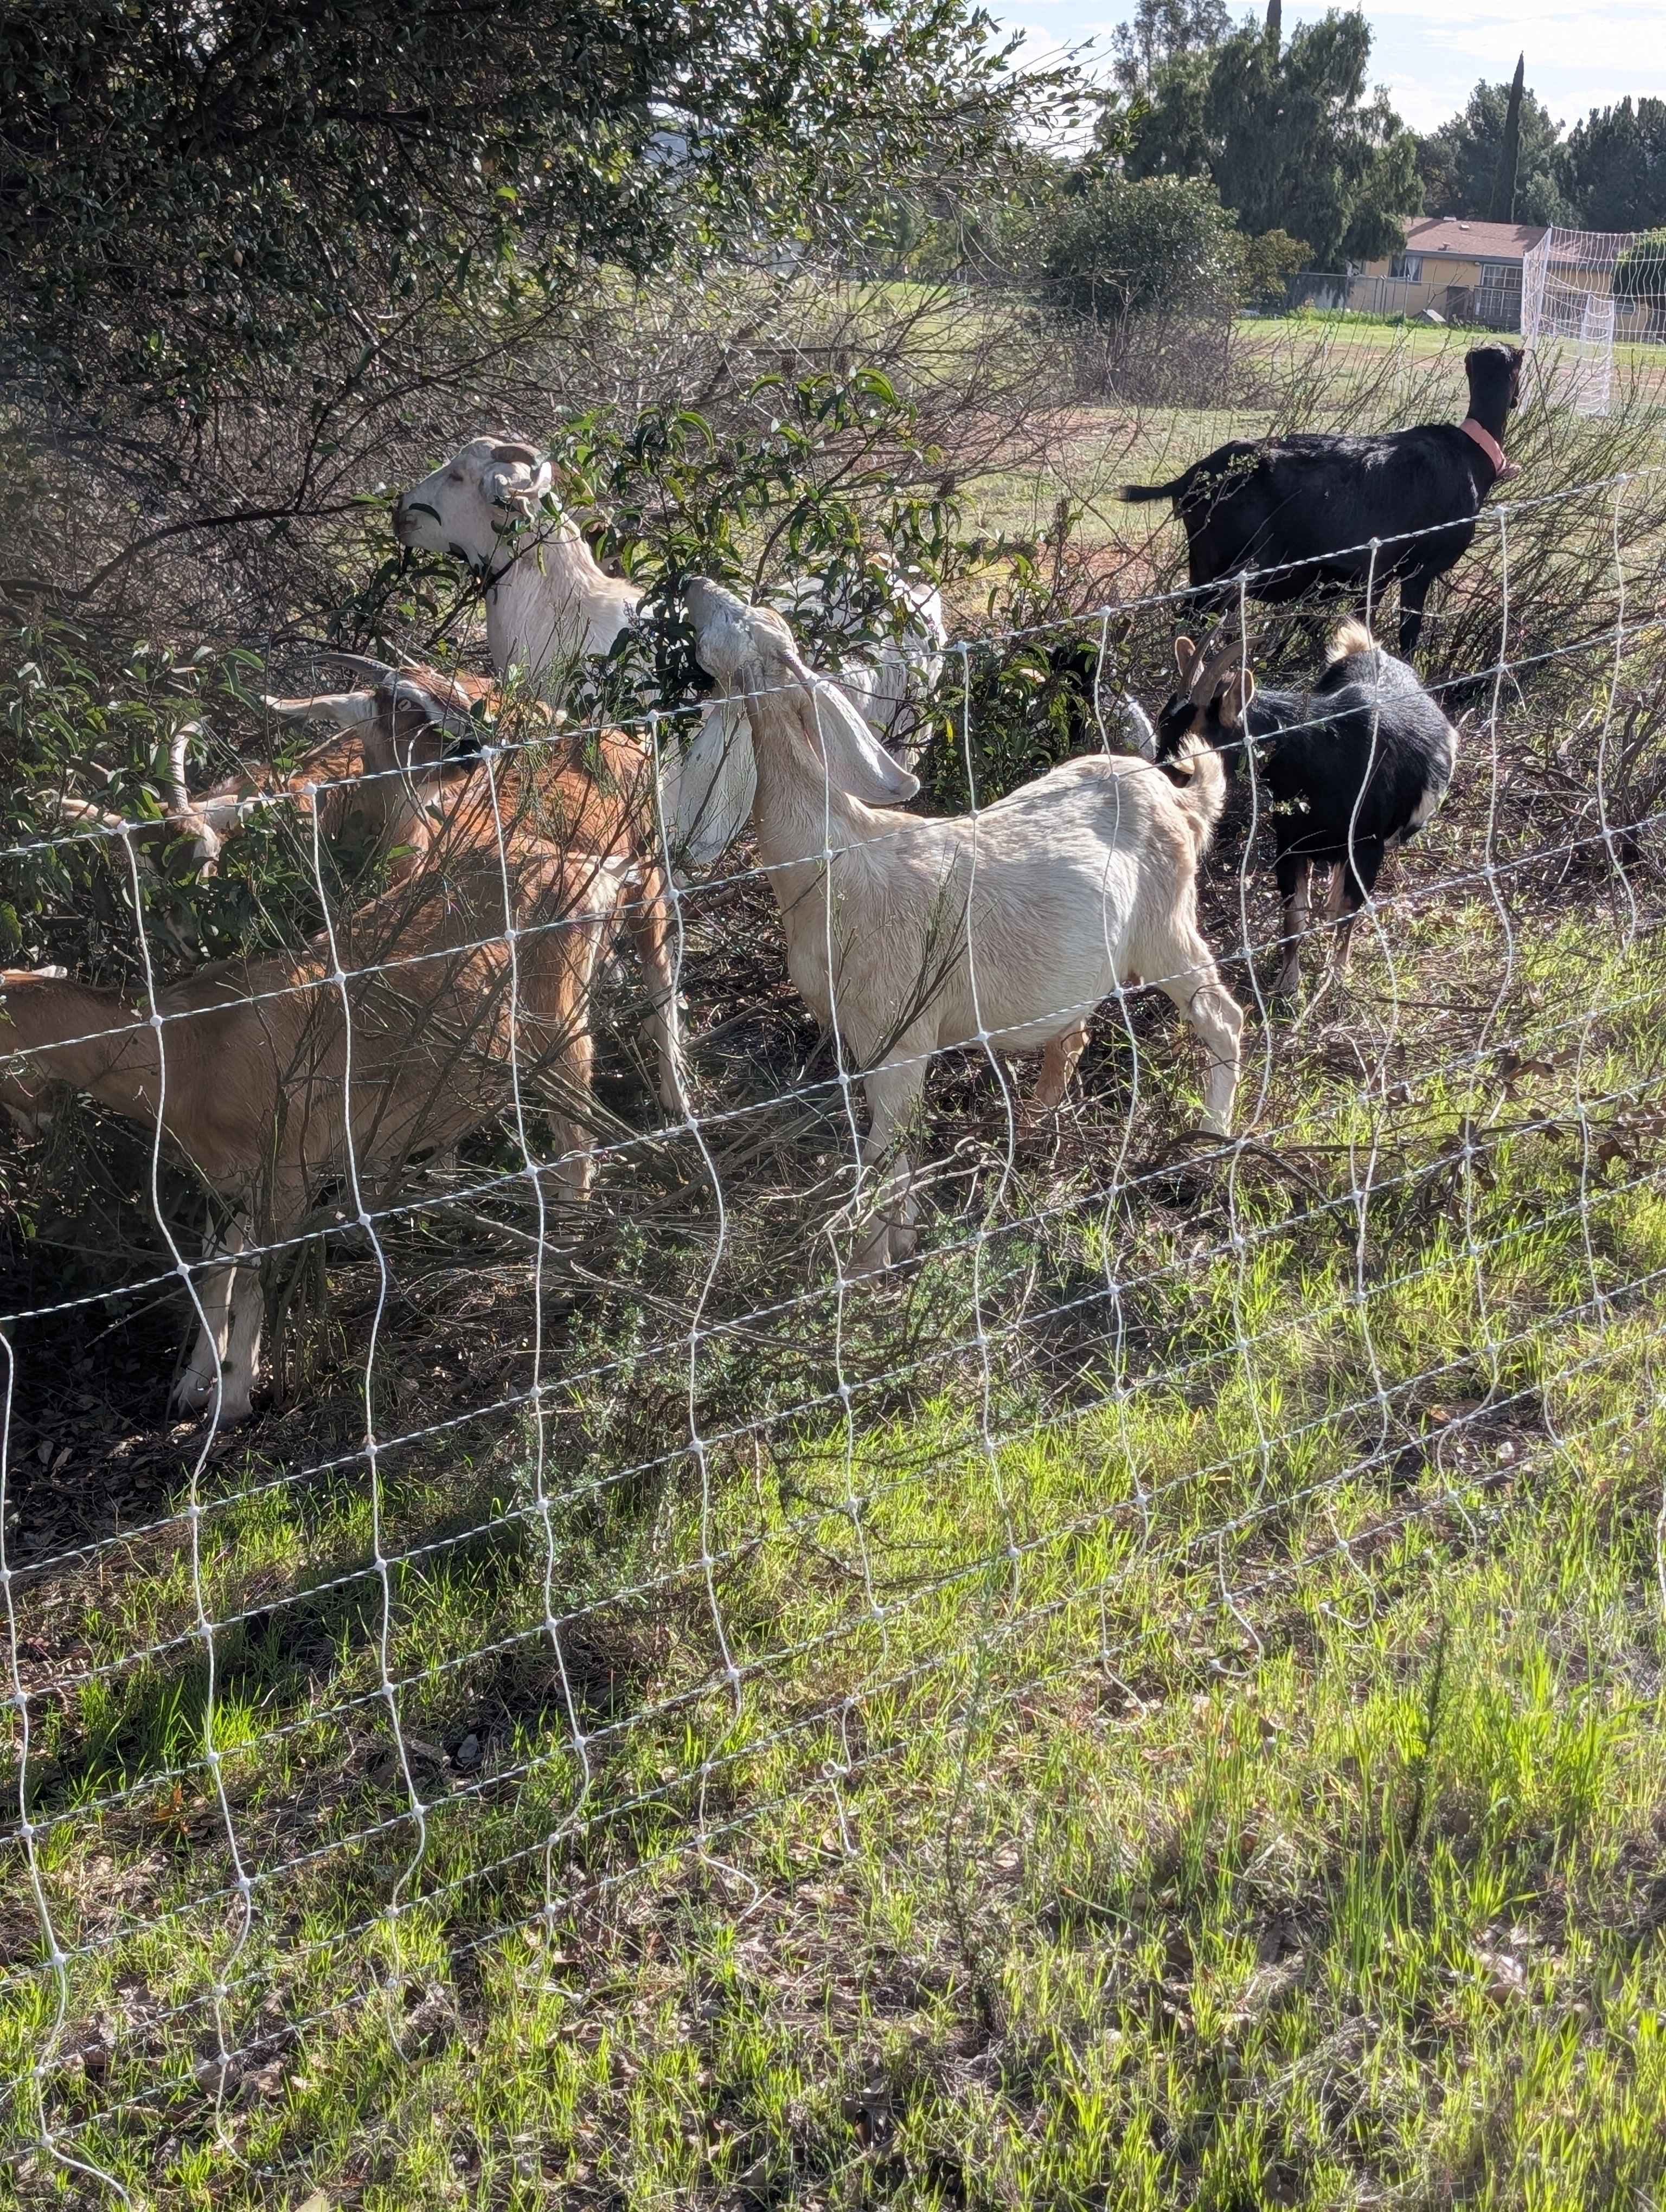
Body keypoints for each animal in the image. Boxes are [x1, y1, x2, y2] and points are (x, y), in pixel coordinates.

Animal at [0, 815, 635, 1422]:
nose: (33, 1127)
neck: (190, 1051)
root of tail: (591, 869)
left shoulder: (288, 1170)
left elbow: (254, 1276)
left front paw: (233, 1398)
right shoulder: (228, 1179)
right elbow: (214, 1271)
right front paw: (192, 1386)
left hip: (562, 1027)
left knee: (577, 1143)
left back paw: (561, 1271)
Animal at [682, 578, 1243, 1274]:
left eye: (739, 619)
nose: (692, 587)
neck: (834, 856)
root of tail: (1180, 799)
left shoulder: (899, 1033)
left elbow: (888, 1148)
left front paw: (870, 1266)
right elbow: (899, 1147)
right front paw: (900, 1243)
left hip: (1168, 924)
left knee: (1223, 1016)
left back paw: (1210, 1143)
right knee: (1076, 1035)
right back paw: (1037, 1124)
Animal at [1123, 344, 1523, 656]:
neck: (1470, 452)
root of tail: (1192, 477)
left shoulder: (1372, 576)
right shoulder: (1416, 570)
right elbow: (1407, 636)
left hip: (1204, 562)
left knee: (1190, 617)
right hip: (1236, 566)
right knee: (1206, 619)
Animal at [1154, 623, 1459, 997]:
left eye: (1193, 745)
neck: (1321, 758)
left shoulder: (1367, 848)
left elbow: (1348, 910)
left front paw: (1336, 977)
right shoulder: (1290, 845)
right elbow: (1295, 915)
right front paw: (1287, 982)